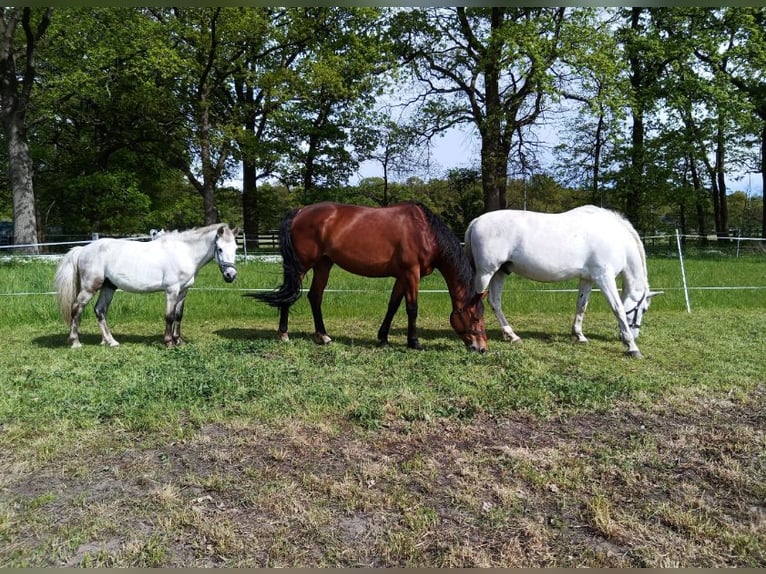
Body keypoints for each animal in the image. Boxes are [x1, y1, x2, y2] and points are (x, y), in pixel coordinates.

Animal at [53, 225, 238, 352]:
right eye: (220, 249)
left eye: (236, 248)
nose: (231, 275)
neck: (184, 252)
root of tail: (83, 249)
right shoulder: (172, 290)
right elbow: (169, 316)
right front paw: (169, 342)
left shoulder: (184, 291)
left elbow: (179, 316)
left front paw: (179, 341)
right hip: (89, 288)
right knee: (76, 309)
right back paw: (76, 342)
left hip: (108, 287)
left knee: (100, 310)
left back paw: (111, 342)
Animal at [255, 202, 488, 356]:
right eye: (474, 317)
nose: (482, 348)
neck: (425, 231)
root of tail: (300, 212)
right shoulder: (411, 274)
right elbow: (412, 308)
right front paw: (414, 342)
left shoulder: (402, 276)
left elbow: (392, 306)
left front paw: (383, 338)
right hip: (302, 265)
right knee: (290, 296)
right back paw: (284, 334)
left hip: (323, 264)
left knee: (315, 296)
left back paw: (323, 336)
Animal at [464, 207, 664, 358]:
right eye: (644, 309)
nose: (635, 335)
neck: (615, 238)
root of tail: (476, 221)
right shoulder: (604, 278)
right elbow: (618, 309)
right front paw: (632, 347)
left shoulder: (587, 279)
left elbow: (581, 306)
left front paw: (579, 335)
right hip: (486, 273)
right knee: (475, 303)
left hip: (500, 272)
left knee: (494, 302)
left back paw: (512, 335)